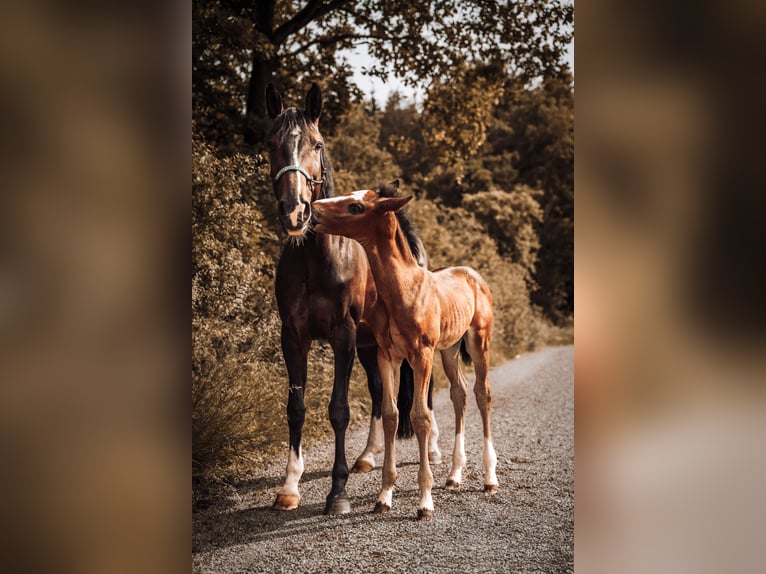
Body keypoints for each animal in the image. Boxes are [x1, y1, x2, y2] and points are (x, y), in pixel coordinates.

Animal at [263, 84, 441, 515]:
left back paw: (433, 449)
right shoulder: (293, 336)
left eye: (317, 144)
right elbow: (296, 409)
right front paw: (289, 486)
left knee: (423, 391)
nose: (295, 212)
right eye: (272, 143)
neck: (316, 258)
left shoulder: (342, 335)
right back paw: (368, 456)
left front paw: (338, 491)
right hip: (370, 345)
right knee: (379, 393)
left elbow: (339, 409)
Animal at [312, 181, 498, 520]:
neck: (403, 289)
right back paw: (454, 476)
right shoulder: (388, 356)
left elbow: (420, 416)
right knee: (460, 393)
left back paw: (490, 478)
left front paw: (425, 502)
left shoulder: (421, 355)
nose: (314, 209)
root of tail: (471, 274)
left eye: (356, 207)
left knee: (483, 394)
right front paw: (384, 497)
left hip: (479, 340)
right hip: (449, 349)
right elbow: (391, 415)